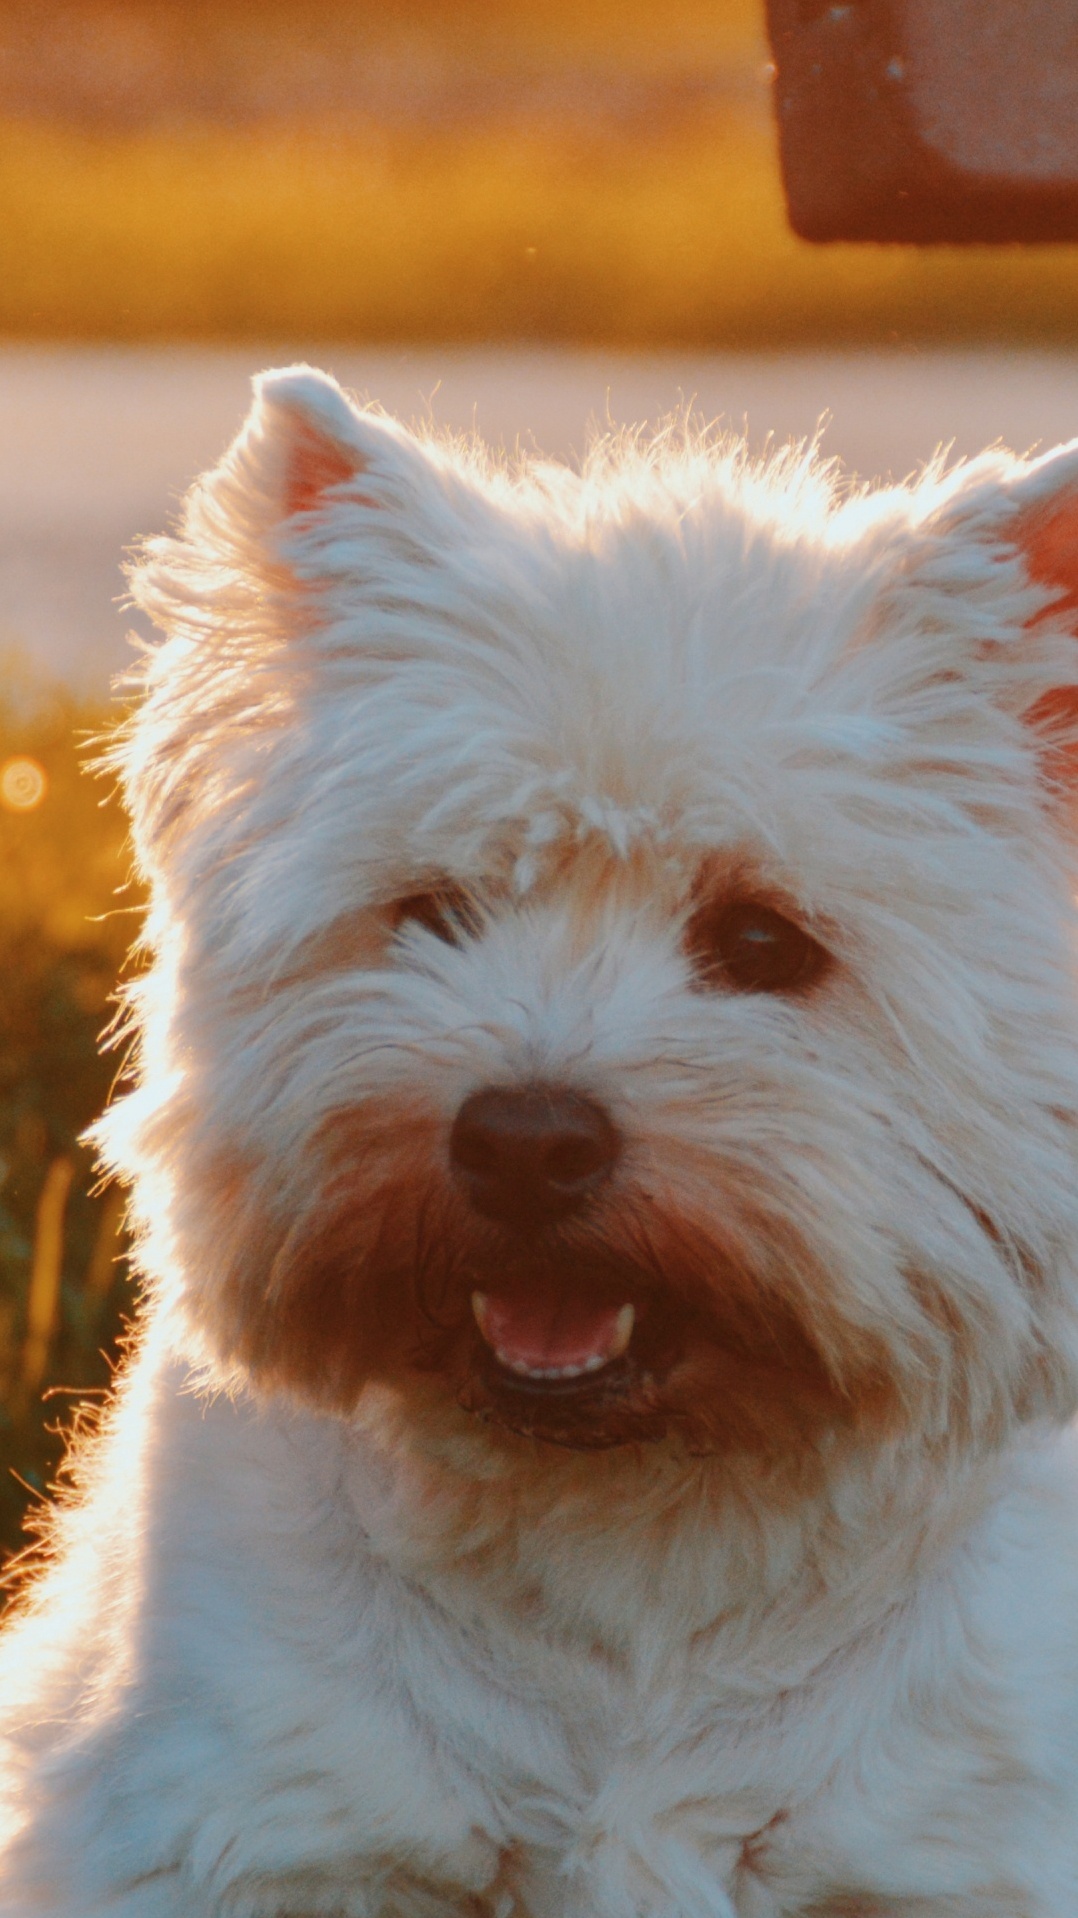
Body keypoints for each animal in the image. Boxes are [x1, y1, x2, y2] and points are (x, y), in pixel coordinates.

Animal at [4, 362, 1074, 1918]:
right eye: (431, 910)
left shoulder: (947, 1846)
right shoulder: (263, 1823)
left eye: (763, 941)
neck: (634, 1531)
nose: (520, 1140)